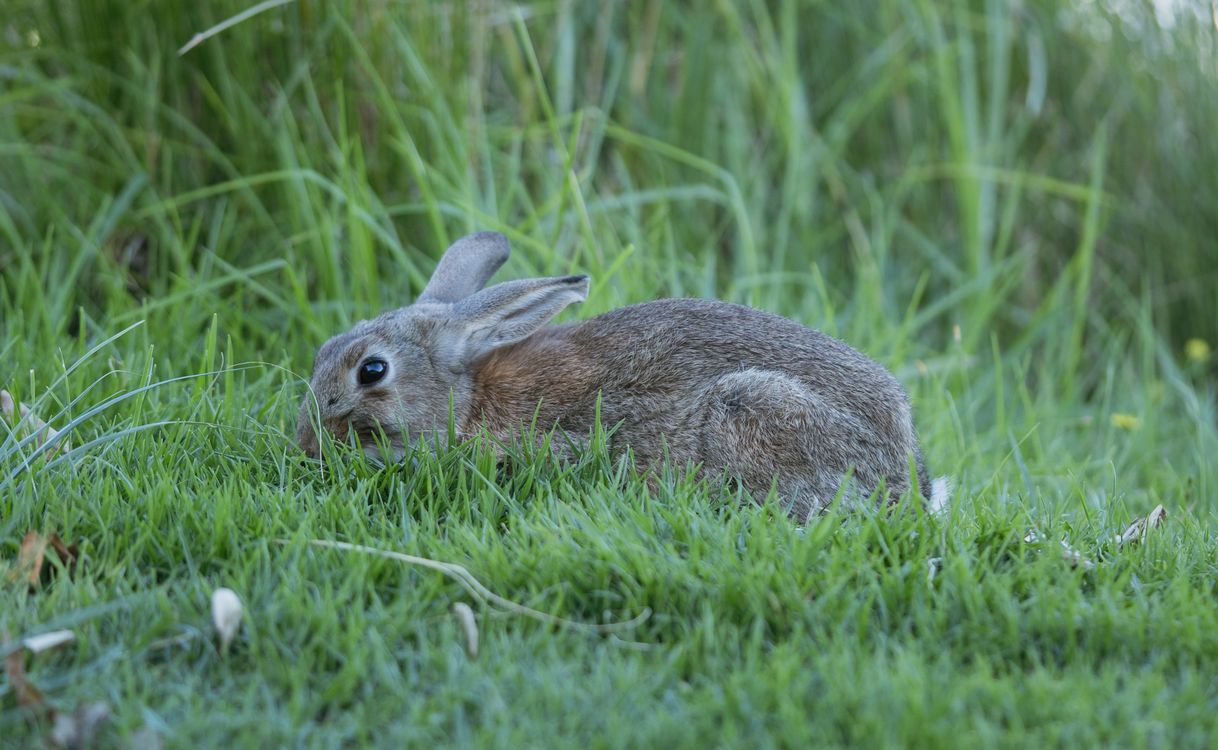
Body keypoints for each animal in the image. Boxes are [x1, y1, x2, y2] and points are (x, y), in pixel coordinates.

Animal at [297, 231, 949, 519]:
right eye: (324, 348)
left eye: (372, 371)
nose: (306, 445)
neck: (467, 400)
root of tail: (909, 479)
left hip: (751, 404)